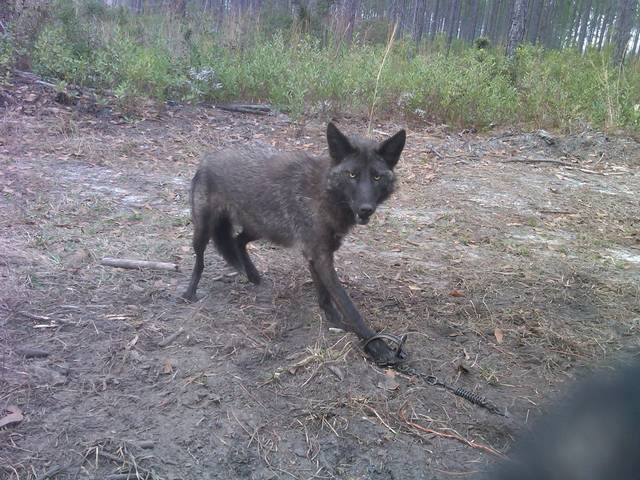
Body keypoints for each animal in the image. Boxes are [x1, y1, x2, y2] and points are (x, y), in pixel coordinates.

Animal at [183, 122, 406, 365]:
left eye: (376, 177)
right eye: (352, 174)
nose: (366, 209)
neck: (326, 194)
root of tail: (208, 158)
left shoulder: (318, 254)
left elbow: (324, 294)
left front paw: (332, 319)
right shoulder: (319, 255)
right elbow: (348, 306)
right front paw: (377, 346)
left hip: (263, 229)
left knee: (238, 240)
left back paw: (253, 276)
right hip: (204, 230)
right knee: (200, 260)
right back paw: (189, 292)